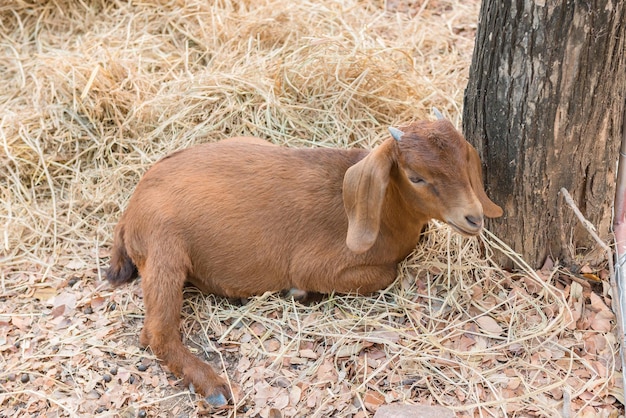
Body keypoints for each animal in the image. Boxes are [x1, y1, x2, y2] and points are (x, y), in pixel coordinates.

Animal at [105, 118, 500, 404]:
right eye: (416, 176)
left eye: (465, 161)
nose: (474, 218)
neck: (385, 213)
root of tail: (130, 209)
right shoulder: (315, 264)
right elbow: (387, 272)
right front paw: (302, 293)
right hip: (164, 247)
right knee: (155, 333)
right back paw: (214, 386)